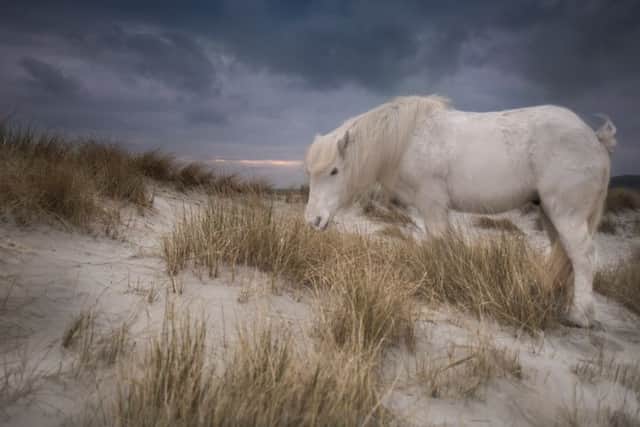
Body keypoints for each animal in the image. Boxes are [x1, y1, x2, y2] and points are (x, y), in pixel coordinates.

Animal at [304, 95, 616, 328]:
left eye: (334, 171)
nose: (313, 220)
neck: (407, 139)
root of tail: (595, 138)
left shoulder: (432, 203)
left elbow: (438, 244)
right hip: (550, 214)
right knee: (565, 255)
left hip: (566, 213)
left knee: (582, 256)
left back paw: (579, 315)